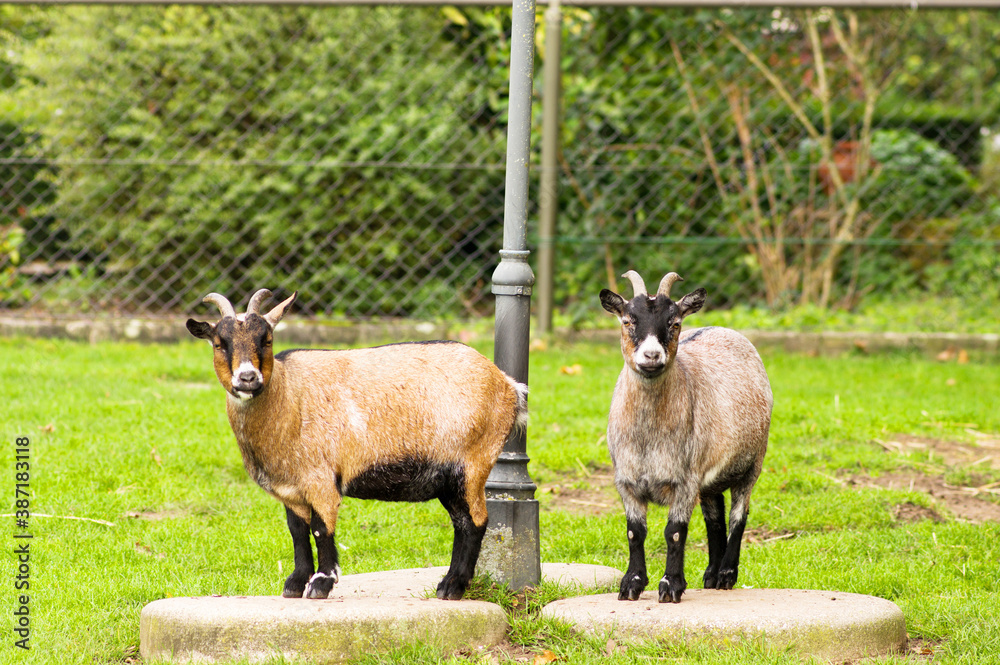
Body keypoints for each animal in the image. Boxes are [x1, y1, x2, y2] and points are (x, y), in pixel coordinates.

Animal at [186, 289, 527, 600]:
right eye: (219, 343)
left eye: (266, 339)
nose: (247, 378)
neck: (288, 395)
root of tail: (508, 385)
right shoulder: (291, 488)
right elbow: (297, 531)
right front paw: (295, 583)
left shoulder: (321, 480)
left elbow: (321, 528)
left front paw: (321, 583)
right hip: (449, 477)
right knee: (462, 521)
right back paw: (448, 584)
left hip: (473, 463)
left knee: (476, 521)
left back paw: (453, 587)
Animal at [599, 271, 772, 603]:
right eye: (627, 320)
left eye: (675, 322)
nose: (651, 355)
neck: (648, 437)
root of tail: (724, 329)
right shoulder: (626, 480)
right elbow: (634, 532)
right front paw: (631, 584)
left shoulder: (685, 480)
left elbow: (675, 531)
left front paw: (671, 585)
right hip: (710, 479)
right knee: (714, 517)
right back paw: (711, 575)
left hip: (752, 462)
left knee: (738, 515)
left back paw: (727, 574)